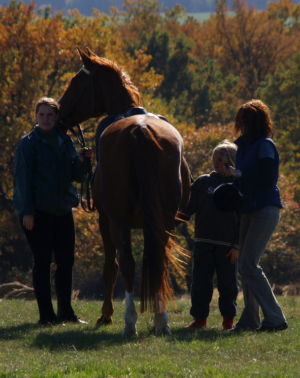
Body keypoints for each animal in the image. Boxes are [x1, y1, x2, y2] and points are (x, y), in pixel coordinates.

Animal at [58, 48, 190, 336]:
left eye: (76, 83)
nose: (59, 115)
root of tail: (140, 130)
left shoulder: (105, 220)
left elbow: (111, 266)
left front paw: (106, 315)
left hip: (117, 220)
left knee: (127, 262)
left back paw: (130, 321)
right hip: (164, 220)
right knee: (158, 259)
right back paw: (161, 320)